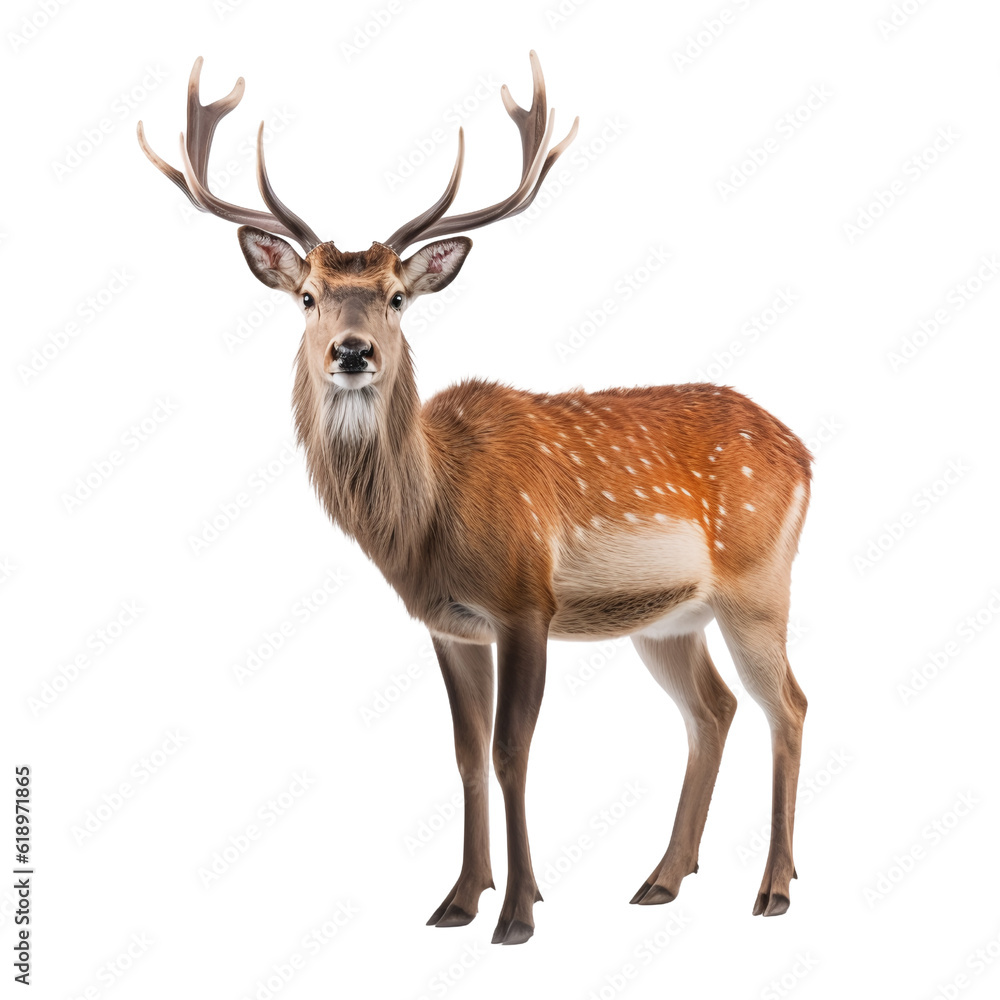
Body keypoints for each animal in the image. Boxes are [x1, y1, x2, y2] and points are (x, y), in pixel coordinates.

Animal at [138, 53, 811, 945]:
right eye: (308, 295)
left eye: (396, 296)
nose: (351, 352)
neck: (432, 520)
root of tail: (804, 451)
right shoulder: (448, 622)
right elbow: (462, 753)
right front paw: (459, 899)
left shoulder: (527, 602)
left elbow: (511, 749)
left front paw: (520, 912)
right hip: (669, 619)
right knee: (714, 709)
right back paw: (661, 880)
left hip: (758, 584)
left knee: (788, 705)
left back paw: (773, 888)